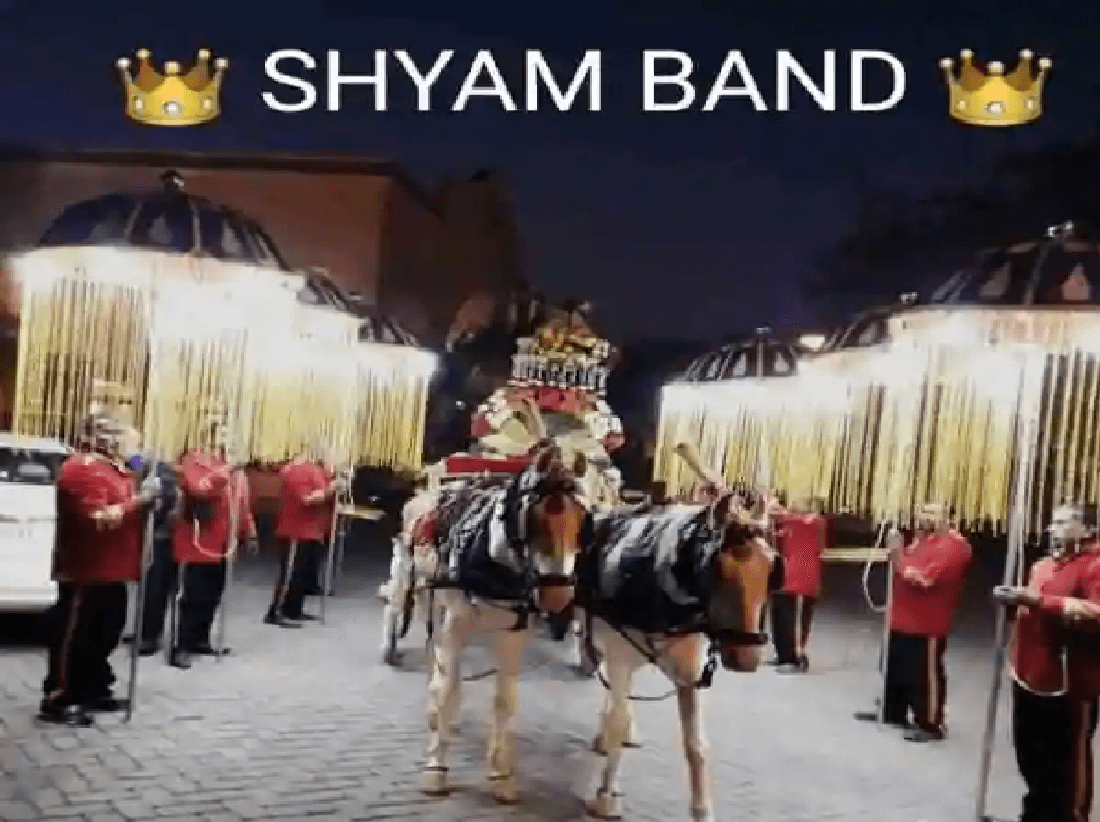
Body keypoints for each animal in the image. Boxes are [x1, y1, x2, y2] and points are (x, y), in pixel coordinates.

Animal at [419, 444, 593, 803]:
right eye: (536, 518)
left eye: (582, 519)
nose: (558, 595)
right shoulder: (455, 623)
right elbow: (445, 691)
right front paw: (436, 768)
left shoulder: (513, 633)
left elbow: (505, 701)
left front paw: (501, 774)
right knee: (440, 672)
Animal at [574, 488, 784, 822]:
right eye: (719, 569)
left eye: (770, 568)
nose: (747, 657)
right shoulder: (619, 655)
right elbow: (618, 718)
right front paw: (605, 795)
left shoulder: (689, 675)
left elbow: (696, 745)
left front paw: (702, 810)